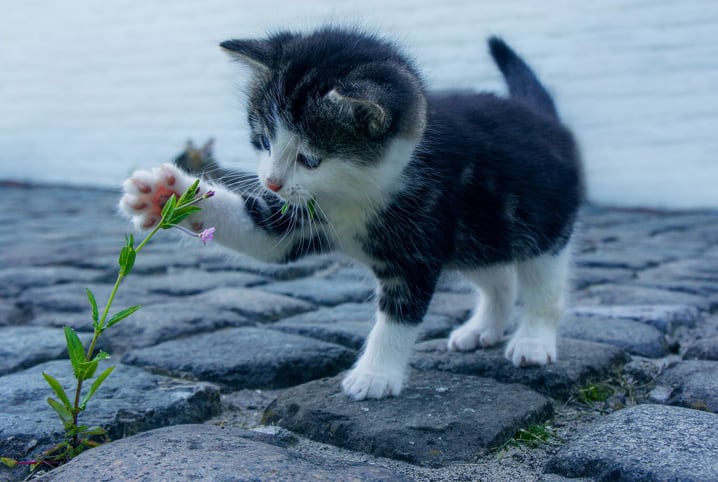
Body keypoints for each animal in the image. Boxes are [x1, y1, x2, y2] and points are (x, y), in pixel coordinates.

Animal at [121, 28, 584, 402]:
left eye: (310, 159)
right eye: (264, 140)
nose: (271, 182)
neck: (353, 193)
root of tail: (544, 117)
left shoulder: (418, 244)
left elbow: (398, 315)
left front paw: (375, 375)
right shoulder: (299, 217)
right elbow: (261, 234)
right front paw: (165, 195)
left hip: (541, 226)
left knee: (543, 287)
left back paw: (532, 341)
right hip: (477, 235)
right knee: (499, 278)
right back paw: (482, 328)